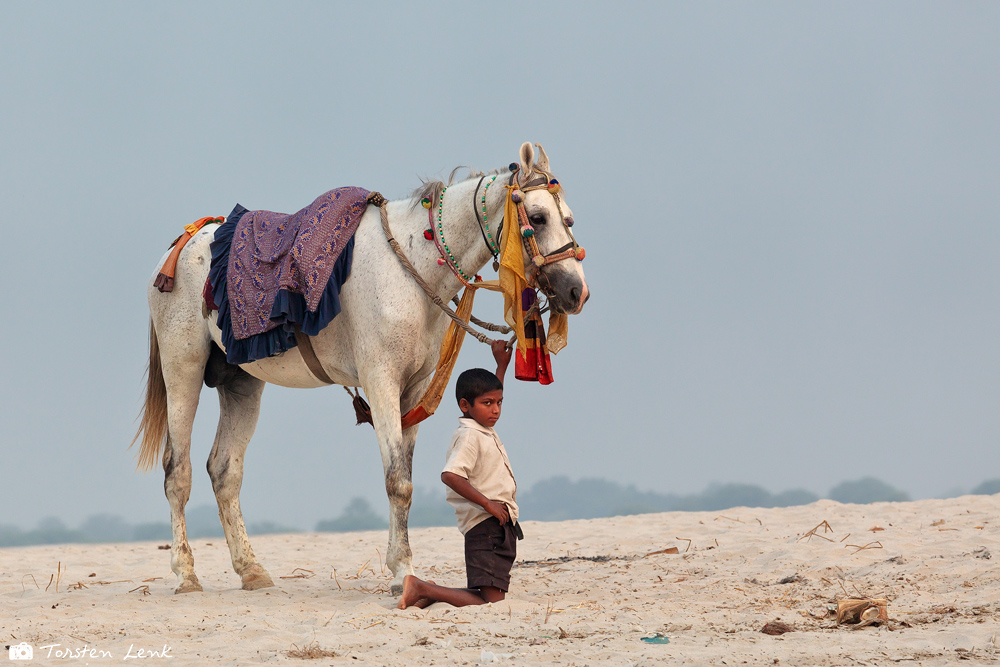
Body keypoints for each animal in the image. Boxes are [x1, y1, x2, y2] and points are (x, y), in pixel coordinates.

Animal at [131, 141, 584, 596]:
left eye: (568, 218)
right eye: (538, 218)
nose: (576, 290)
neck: (413, 266)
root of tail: (182, 245)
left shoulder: (413, 390)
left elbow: (404, 480)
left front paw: (400, 566)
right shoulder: (381, 382)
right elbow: (398, 482)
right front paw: (402, 572)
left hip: (242, 382)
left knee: (224, 471)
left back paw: (251, 570)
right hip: (183, 370)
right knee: (178, 471)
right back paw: (186, 574)